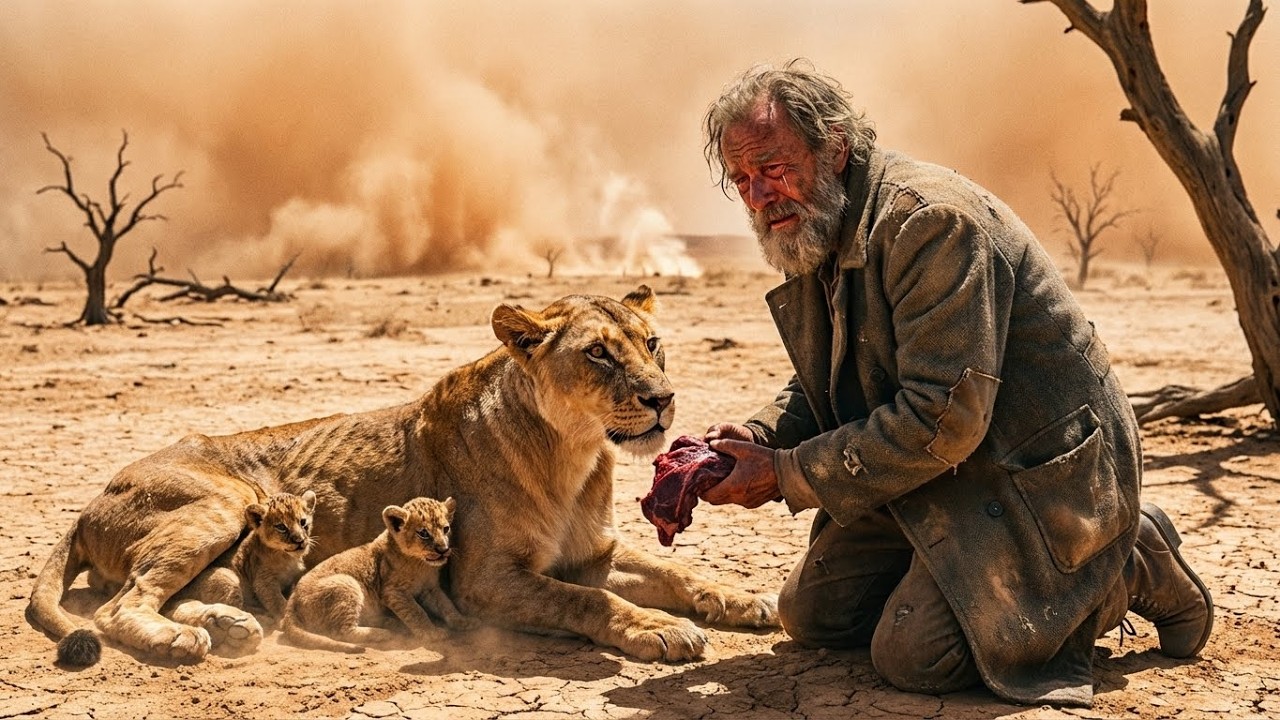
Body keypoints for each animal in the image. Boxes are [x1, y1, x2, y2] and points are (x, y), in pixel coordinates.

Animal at [282, 496, 472, 654]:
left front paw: (462, 621)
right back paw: (383, 633)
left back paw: (390, 623)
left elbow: (446, 604)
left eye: (446, 528)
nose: (443, 550)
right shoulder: (393, 591)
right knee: (341, 632)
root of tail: (292, 600)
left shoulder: (430, 588)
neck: (421, 564)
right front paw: (431, 633)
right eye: (424, 533)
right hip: (347, 583)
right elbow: (416, 612)